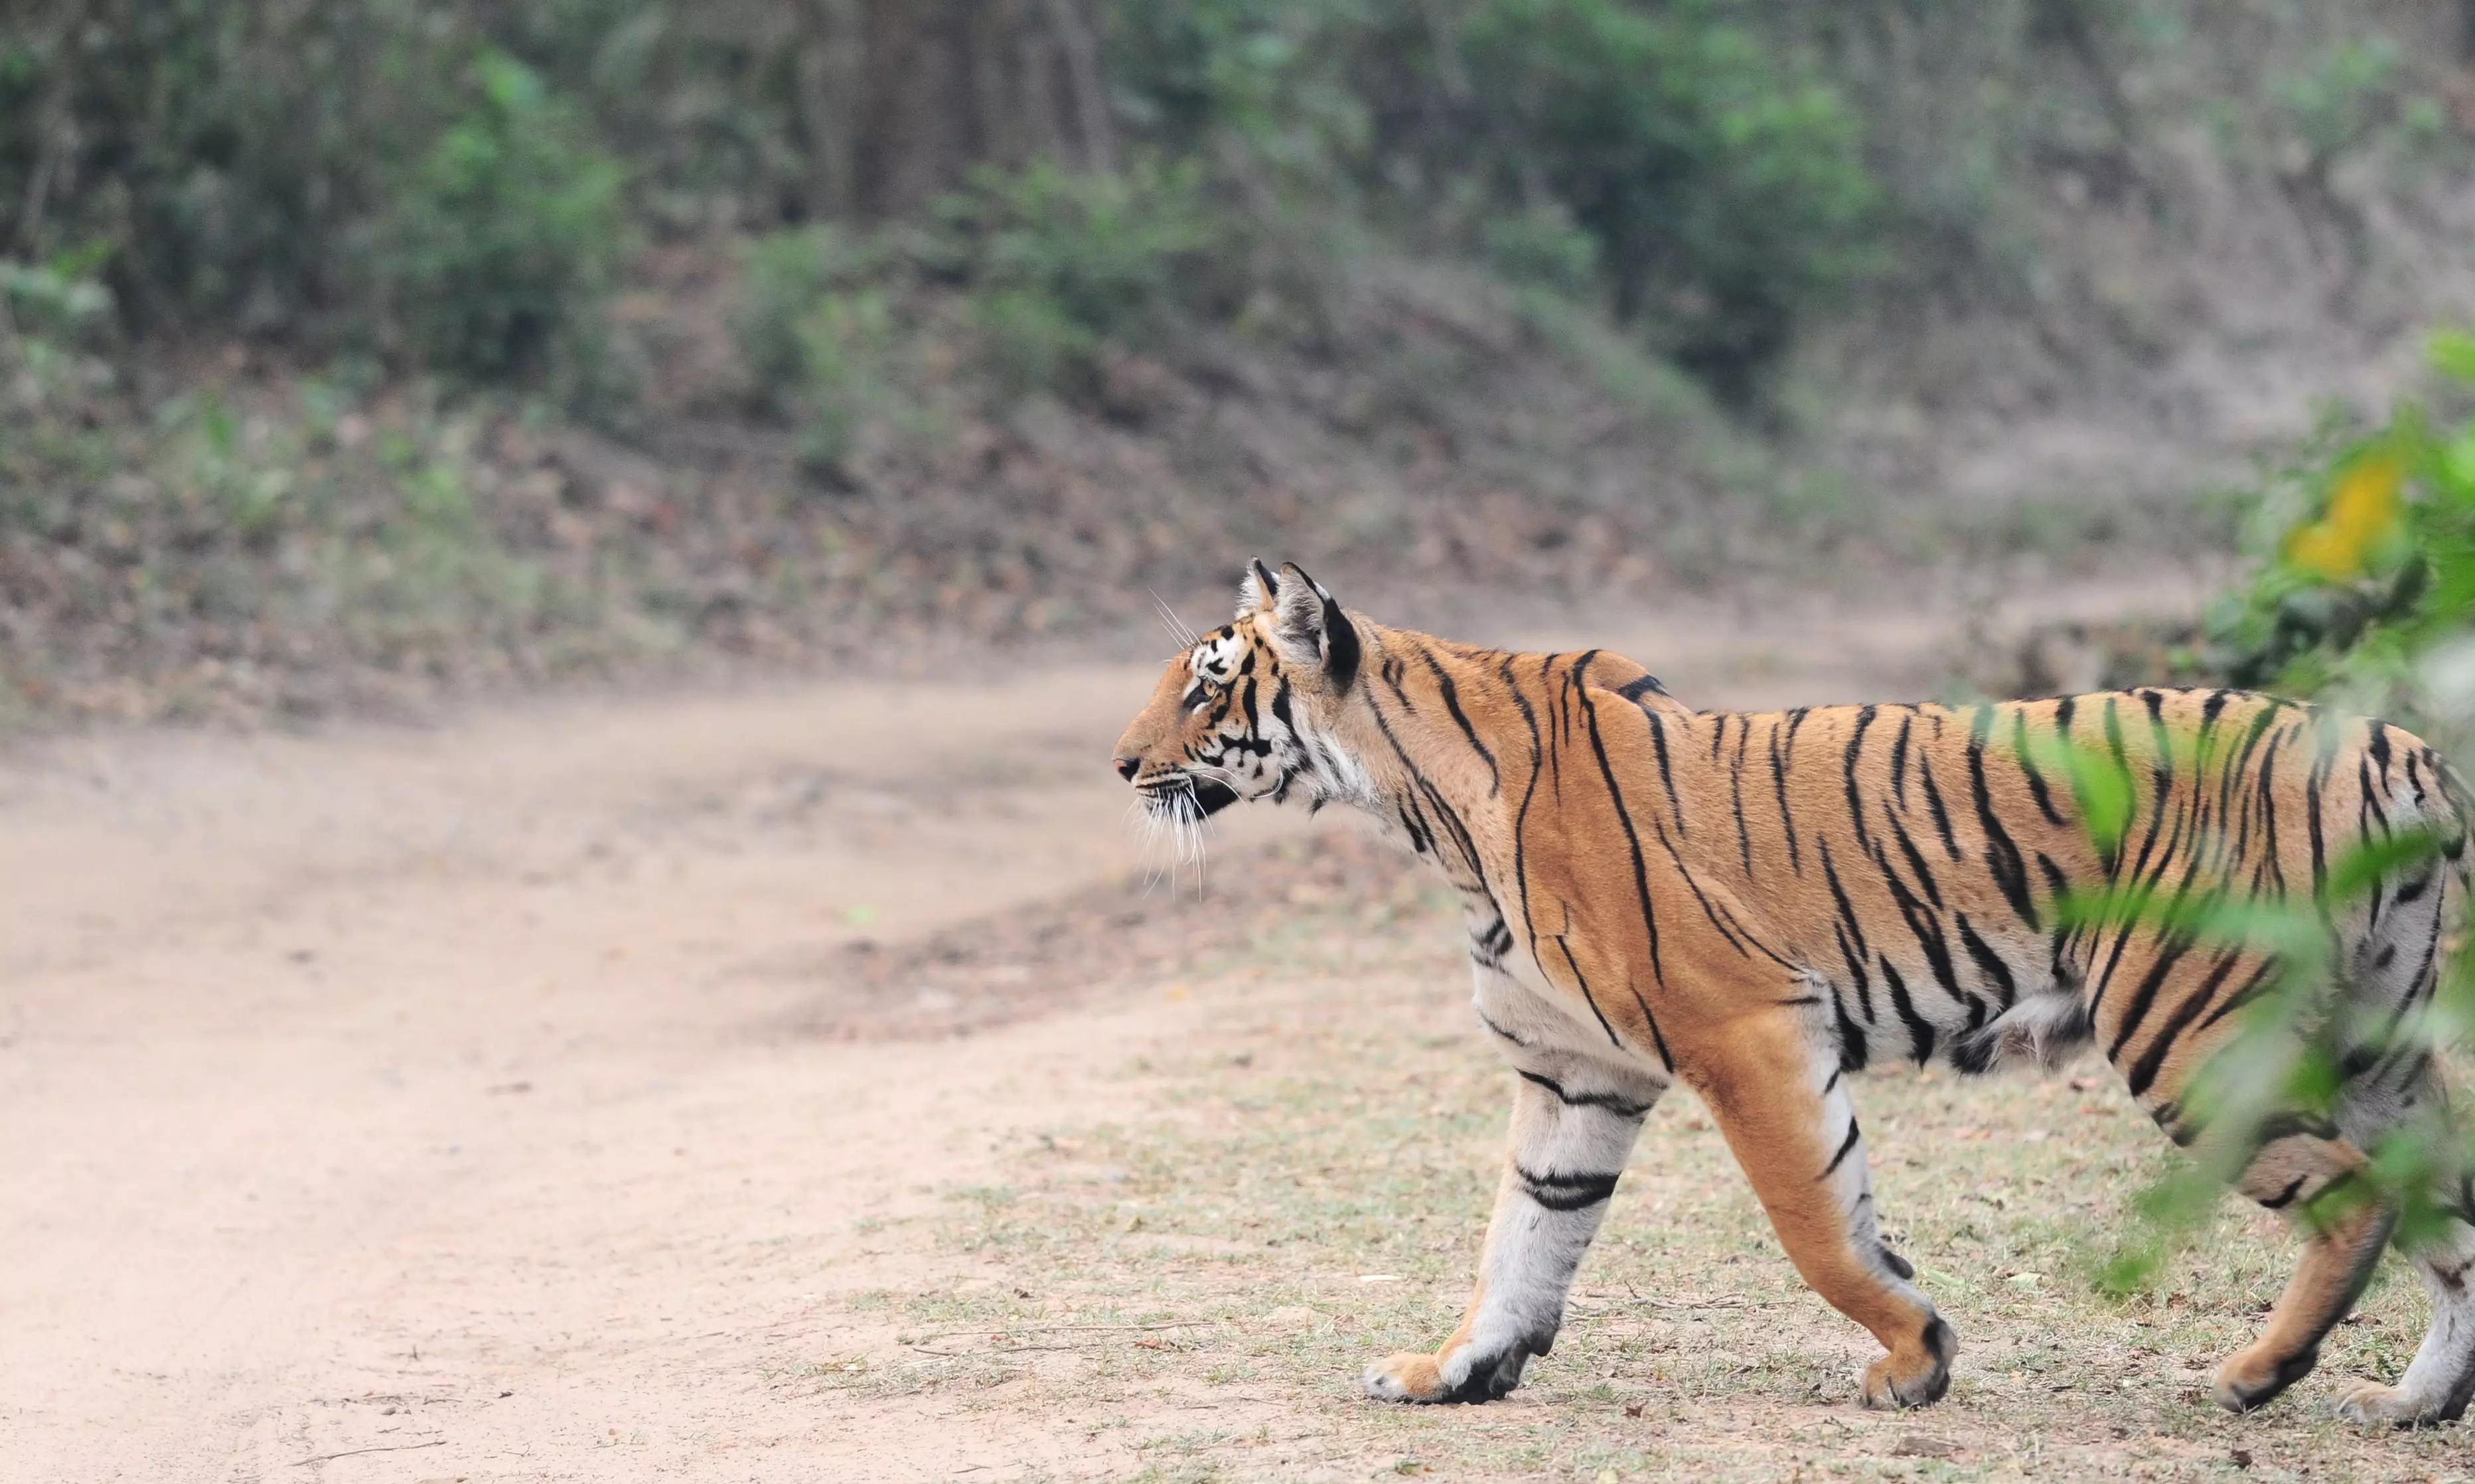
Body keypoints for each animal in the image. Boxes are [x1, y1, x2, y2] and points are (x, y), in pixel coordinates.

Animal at [1114, 561, 2475, 1424]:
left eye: (1206, 683)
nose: (1120, 766)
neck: (1421, 811)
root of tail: (2396, 747)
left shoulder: (1743, 1028)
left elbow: (1816, 1229)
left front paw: (1914, 1360)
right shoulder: (1576, 1074)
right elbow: (1524, 1233)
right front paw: (1452, 1371)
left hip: (2188, 1032)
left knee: (2356, 1198)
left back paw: (2257, 1375)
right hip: (2374, 1042)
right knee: (2446, 1210)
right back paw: (2410, 1404)